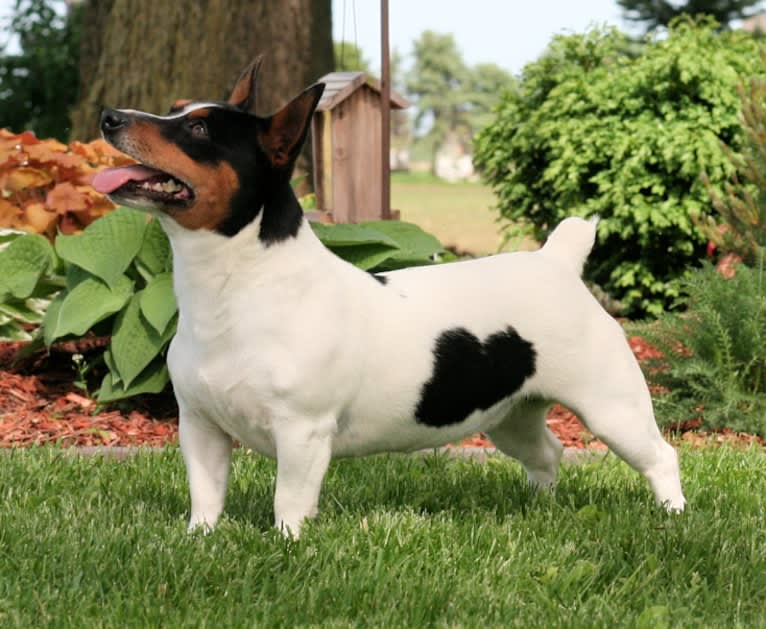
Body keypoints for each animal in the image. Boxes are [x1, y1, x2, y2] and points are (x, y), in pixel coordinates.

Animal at [91, 57, 688, 536]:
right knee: (548, 453)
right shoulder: (200, 428)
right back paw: (540, 507)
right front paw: (200, 541)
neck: (237, 283)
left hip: (613, 408)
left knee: (661, 456)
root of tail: (557, 261)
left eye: (196, 129)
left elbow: (289, 502)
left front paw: (286, 546)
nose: (109, 116)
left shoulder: (302, 434)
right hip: (511, 416)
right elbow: (206, 496)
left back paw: (674, 517)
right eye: (174, 109)